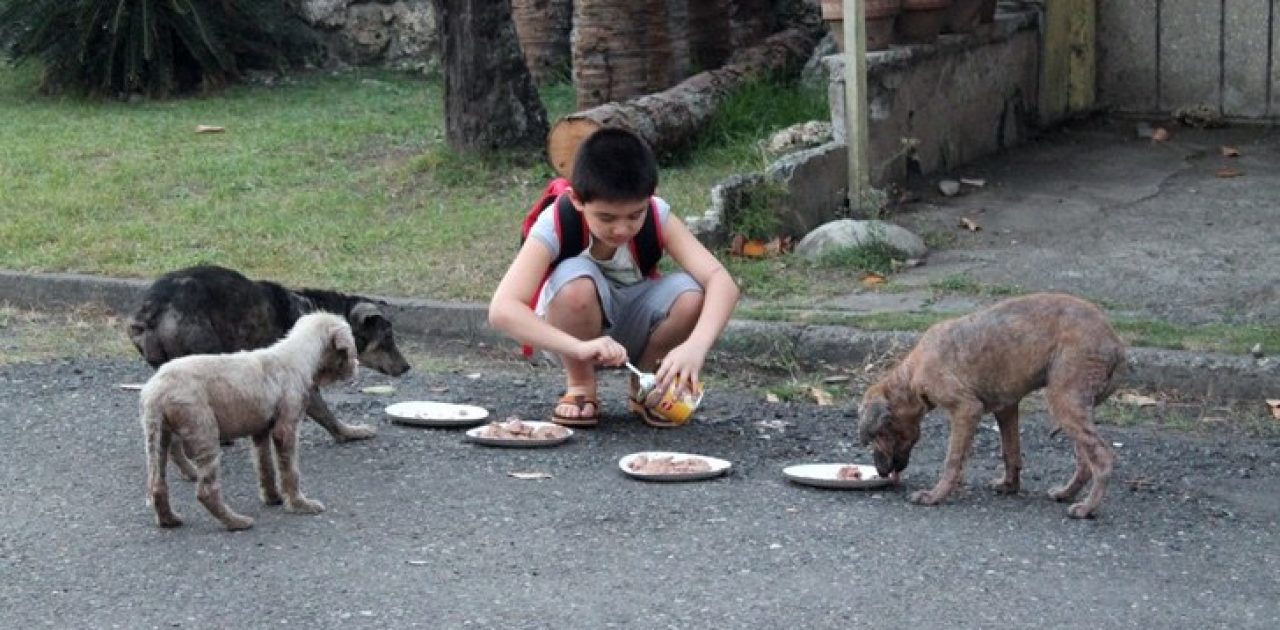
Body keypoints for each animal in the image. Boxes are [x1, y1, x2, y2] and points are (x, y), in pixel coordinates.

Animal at [140, 312, 358, 530]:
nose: (357, 368)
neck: (298, 354)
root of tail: (156, 390)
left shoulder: (260, 430)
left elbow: (265, 466)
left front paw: (272, 497)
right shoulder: (286, 429)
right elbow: (290, 471)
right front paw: (300, 504)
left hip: (159, 436)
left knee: (157, 484)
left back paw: (168, 520)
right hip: (203, 431)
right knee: (206, 491)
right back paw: (235, 522)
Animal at [855, 293, 1126, 519]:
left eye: (878, 435)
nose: (881, 473)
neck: (910, 378)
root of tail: (1116, 342)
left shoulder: (966, 409)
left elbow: (953, 460)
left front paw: (935, 496)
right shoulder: (1006, 408)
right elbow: (1010, 452)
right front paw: (1009, 485)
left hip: (1065, 399)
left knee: (1101, 458)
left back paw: (1087, 508)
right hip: (1074, 405)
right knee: (1085, 461)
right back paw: (1066, 493)